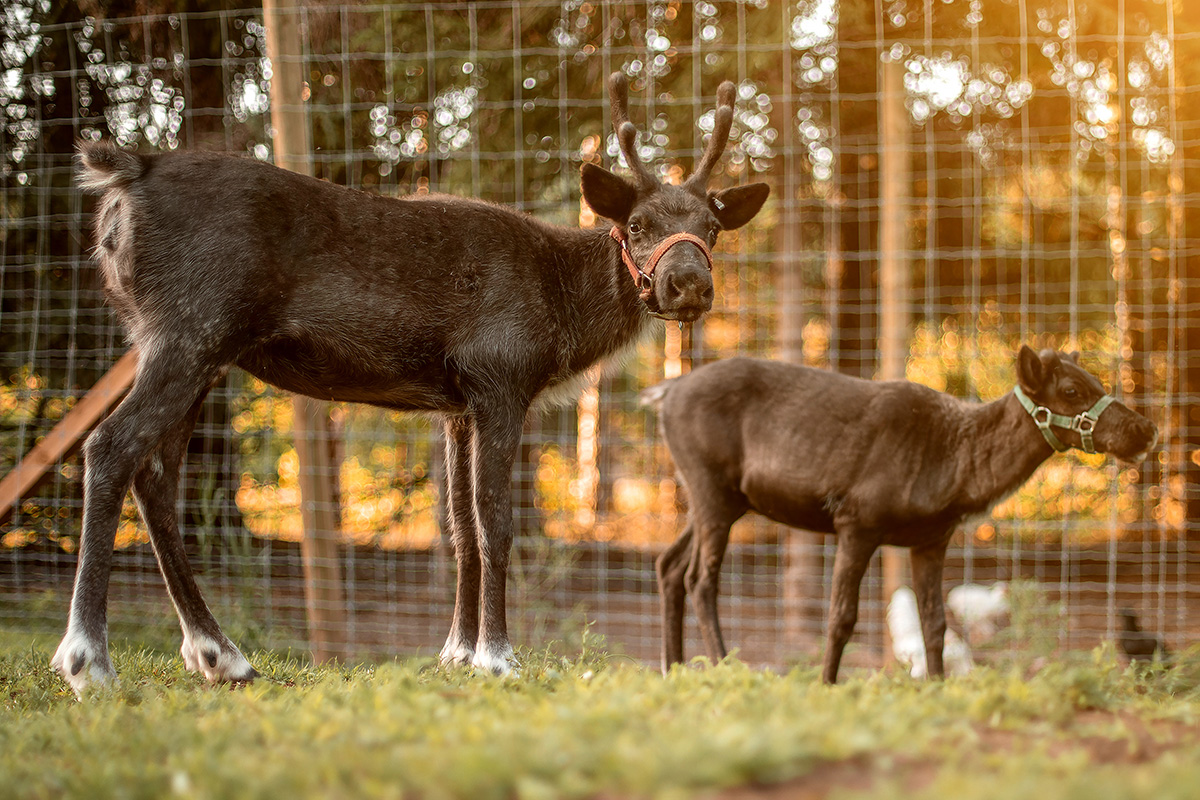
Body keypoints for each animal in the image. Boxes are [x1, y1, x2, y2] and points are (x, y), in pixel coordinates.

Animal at [54, 73, 768, 695]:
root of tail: (123, 173)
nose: (688, 285)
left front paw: (455, 651)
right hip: (190, 329)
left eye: (711, 227)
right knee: (109, 445)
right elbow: (495, 521)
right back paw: (89, 661)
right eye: (638, 225)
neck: (562, 311)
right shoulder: (501, 378)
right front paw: (498, 657)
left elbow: (458, 529)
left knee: (155, 473)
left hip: (185, 345)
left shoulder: (456, 405)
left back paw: (219, 655)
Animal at [643, 347, 1156, 686]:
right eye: (1071, 389)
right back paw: (723, 665)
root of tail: (664, 393)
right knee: (699, 578)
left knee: (668, 564)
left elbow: (936, 624)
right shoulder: (857, 522)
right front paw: (827, 684)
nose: (1146, 430)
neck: (957, 469)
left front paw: (938, 686)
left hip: (723, 499)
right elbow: (842, 617)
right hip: (711, 489)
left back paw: (673, 669)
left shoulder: (931, 538)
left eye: (1097, 382)